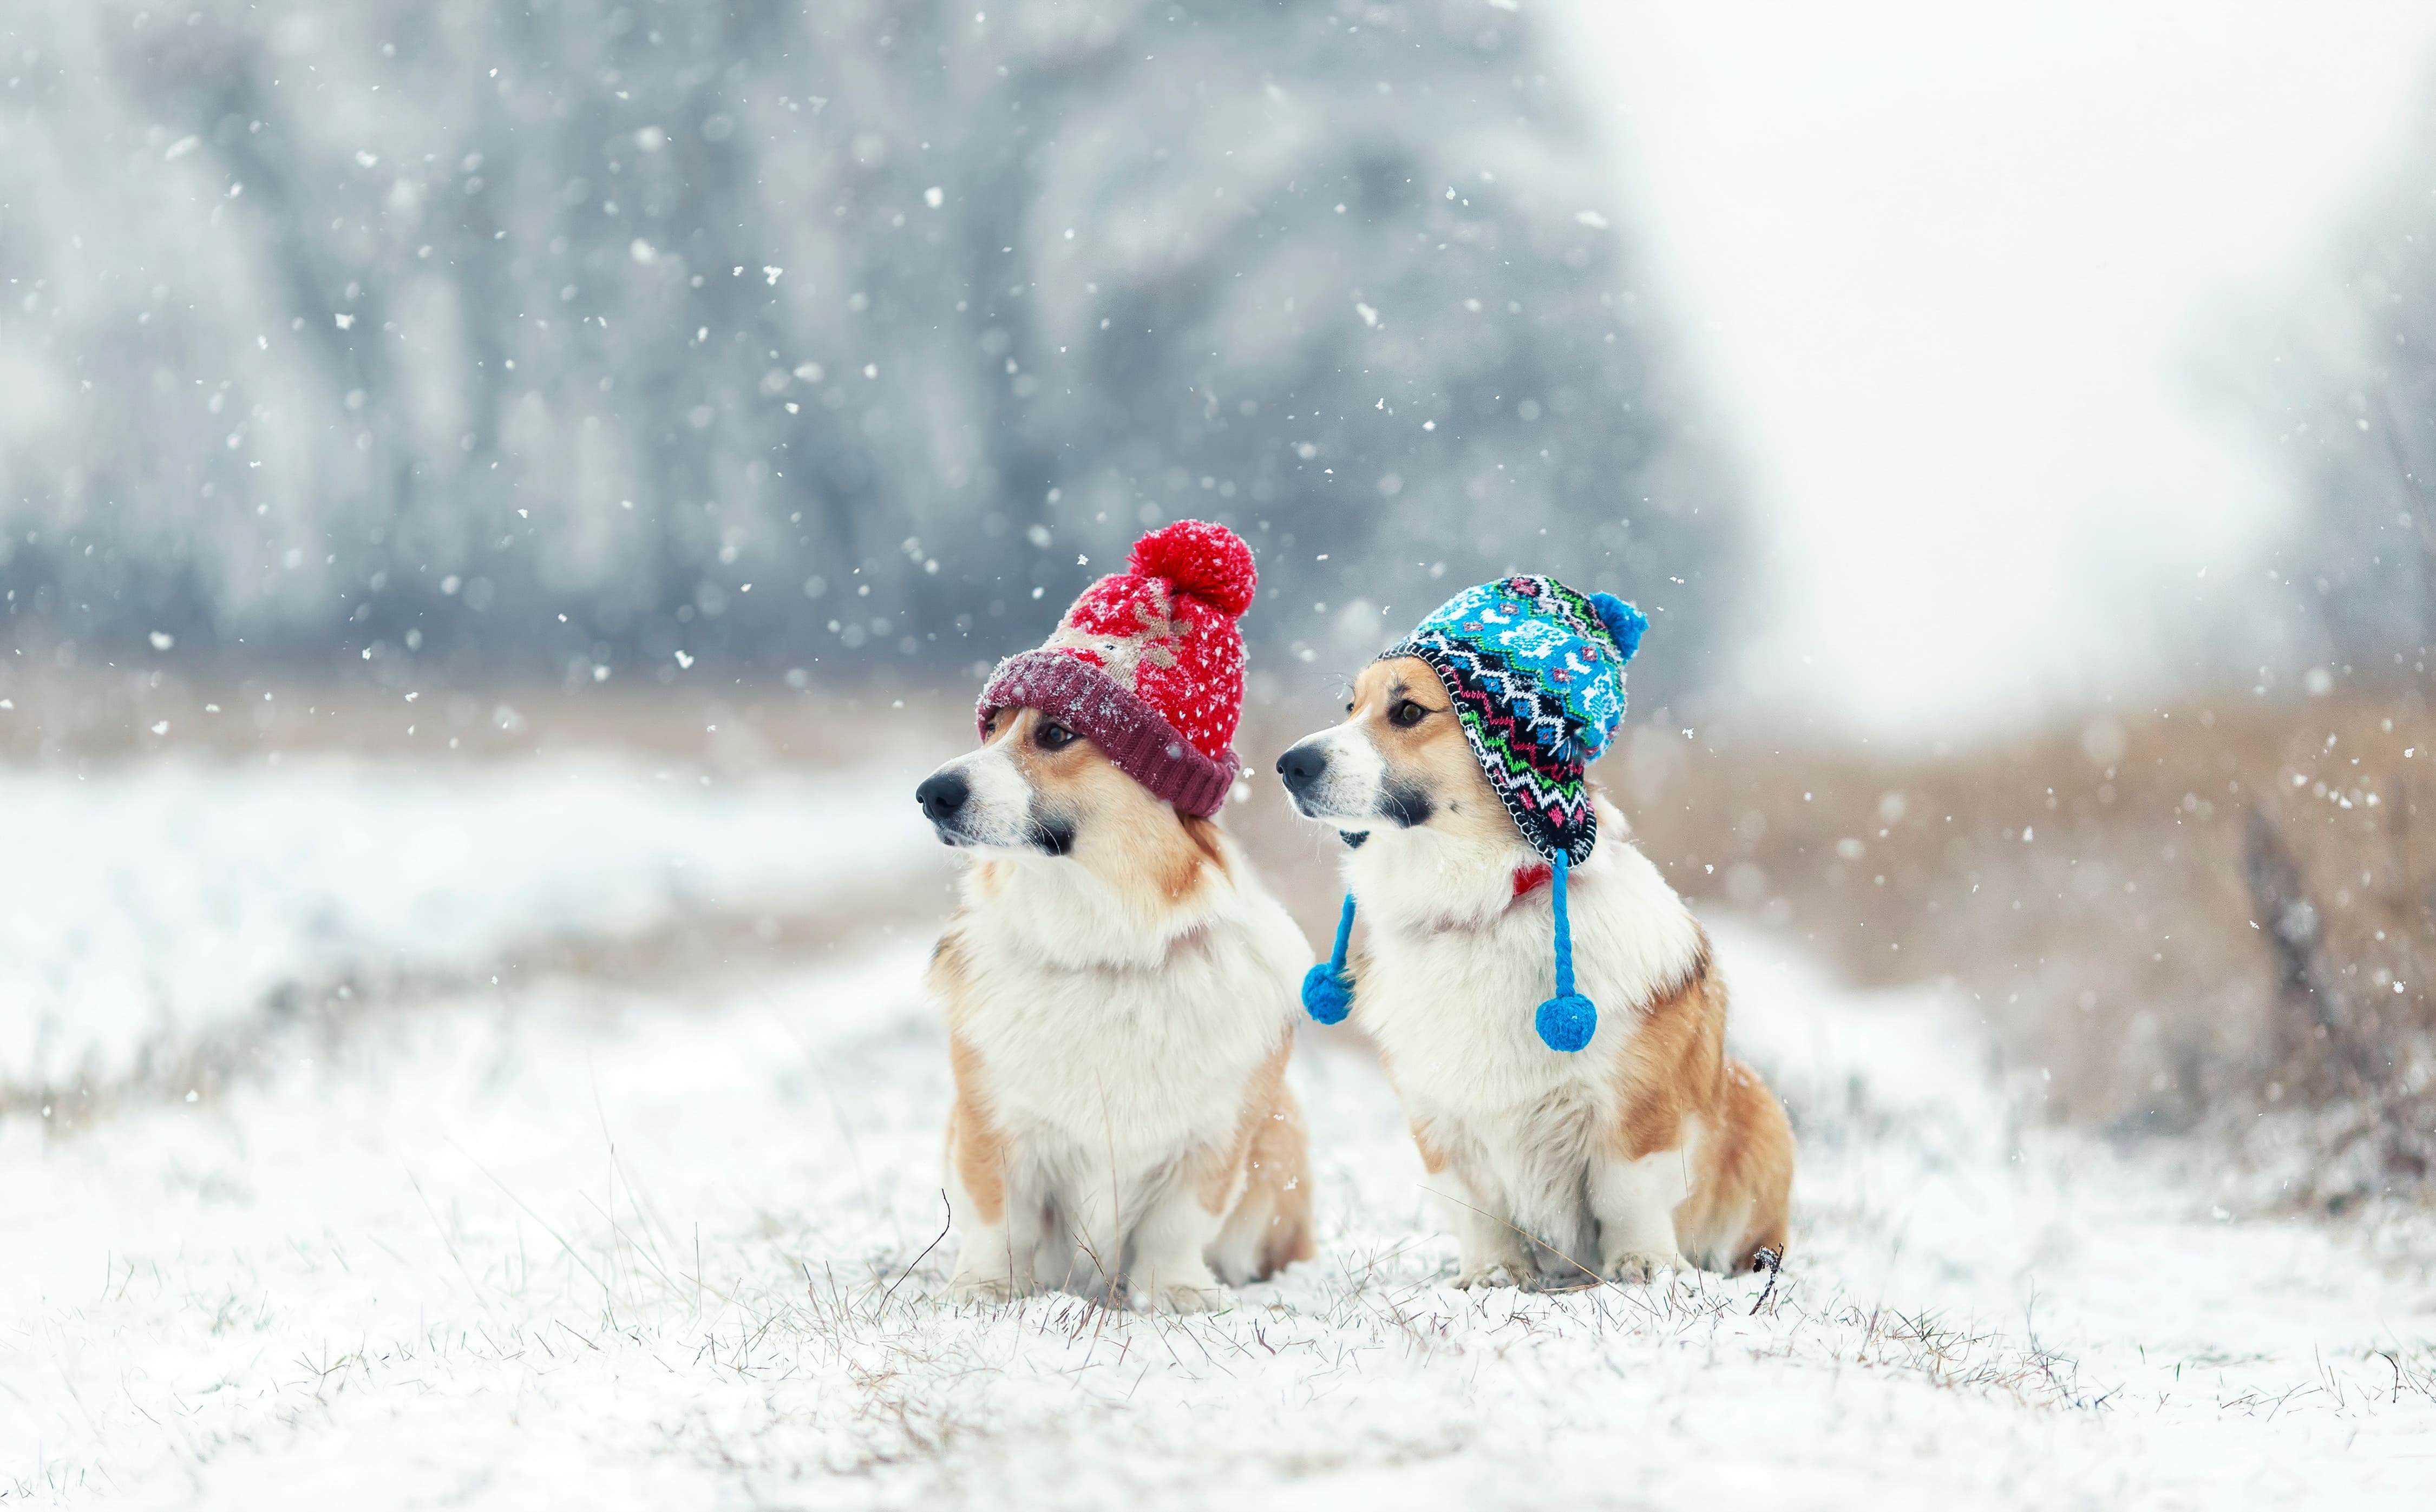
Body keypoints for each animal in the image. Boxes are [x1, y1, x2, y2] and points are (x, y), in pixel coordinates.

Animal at [921, 518, 1325, 1305]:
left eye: (1055, 734)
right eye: (994, 727)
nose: (931, 793)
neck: (1105, 943)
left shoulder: (1214, 1135)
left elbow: (1177, 1225)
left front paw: (1176, 1295)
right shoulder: (991, 1122)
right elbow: (999, 1219)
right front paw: (983, 1289)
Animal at [1276, 577, 1793, 1285]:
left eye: (1408, 711)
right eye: (1349, 705)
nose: (1288, 764)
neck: (1485, 904)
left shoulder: (1635, 1110)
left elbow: (1628, 1192)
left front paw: (1644, 1265)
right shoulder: (1440, 1119)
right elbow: (1479, 1206)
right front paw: (1493, 1275)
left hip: (1760, 1105)